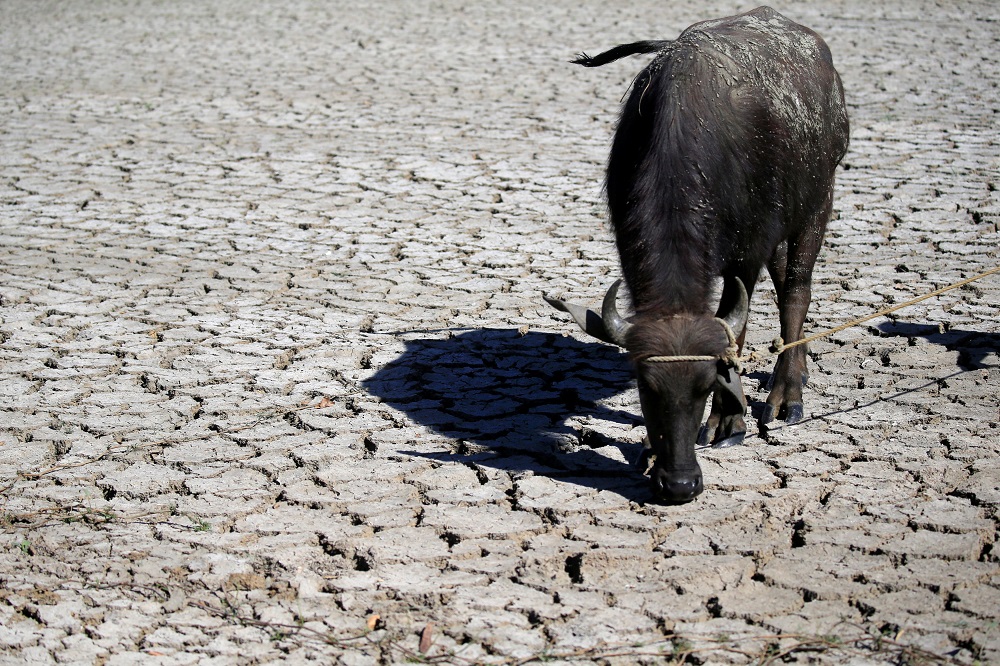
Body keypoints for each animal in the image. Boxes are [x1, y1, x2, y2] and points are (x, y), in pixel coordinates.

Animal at [546, 6, 849, 502]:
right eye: (645, 388)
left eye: (708, 384)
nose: (681, 484)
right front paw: (650, 449)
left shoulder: (747, 251)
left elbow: (735, 333)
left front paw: (728, 421)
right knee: (784, 279)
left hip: (818, 200)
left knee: (796, 290)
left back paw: (787, 395)